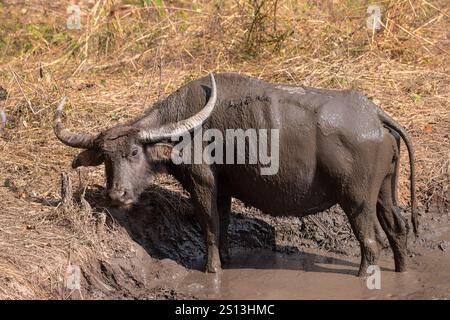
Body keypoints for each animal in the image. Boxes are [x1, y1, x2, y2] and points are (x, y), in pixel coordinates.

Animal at [54, 72, 416, 276]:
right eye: (105, 159)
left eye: (133, 153)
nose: (117, 195)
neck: (184, 130)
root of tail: (374, 115)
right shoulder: (224, 189)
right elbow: (224, 224)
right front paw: (226, 260)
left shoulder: (202, 184)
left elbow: (210, 227)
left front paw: (212, 269)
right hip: (384, 192)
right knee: (397, 229)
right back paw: (402, 270)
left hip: (356, 200)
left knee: (371, 241)